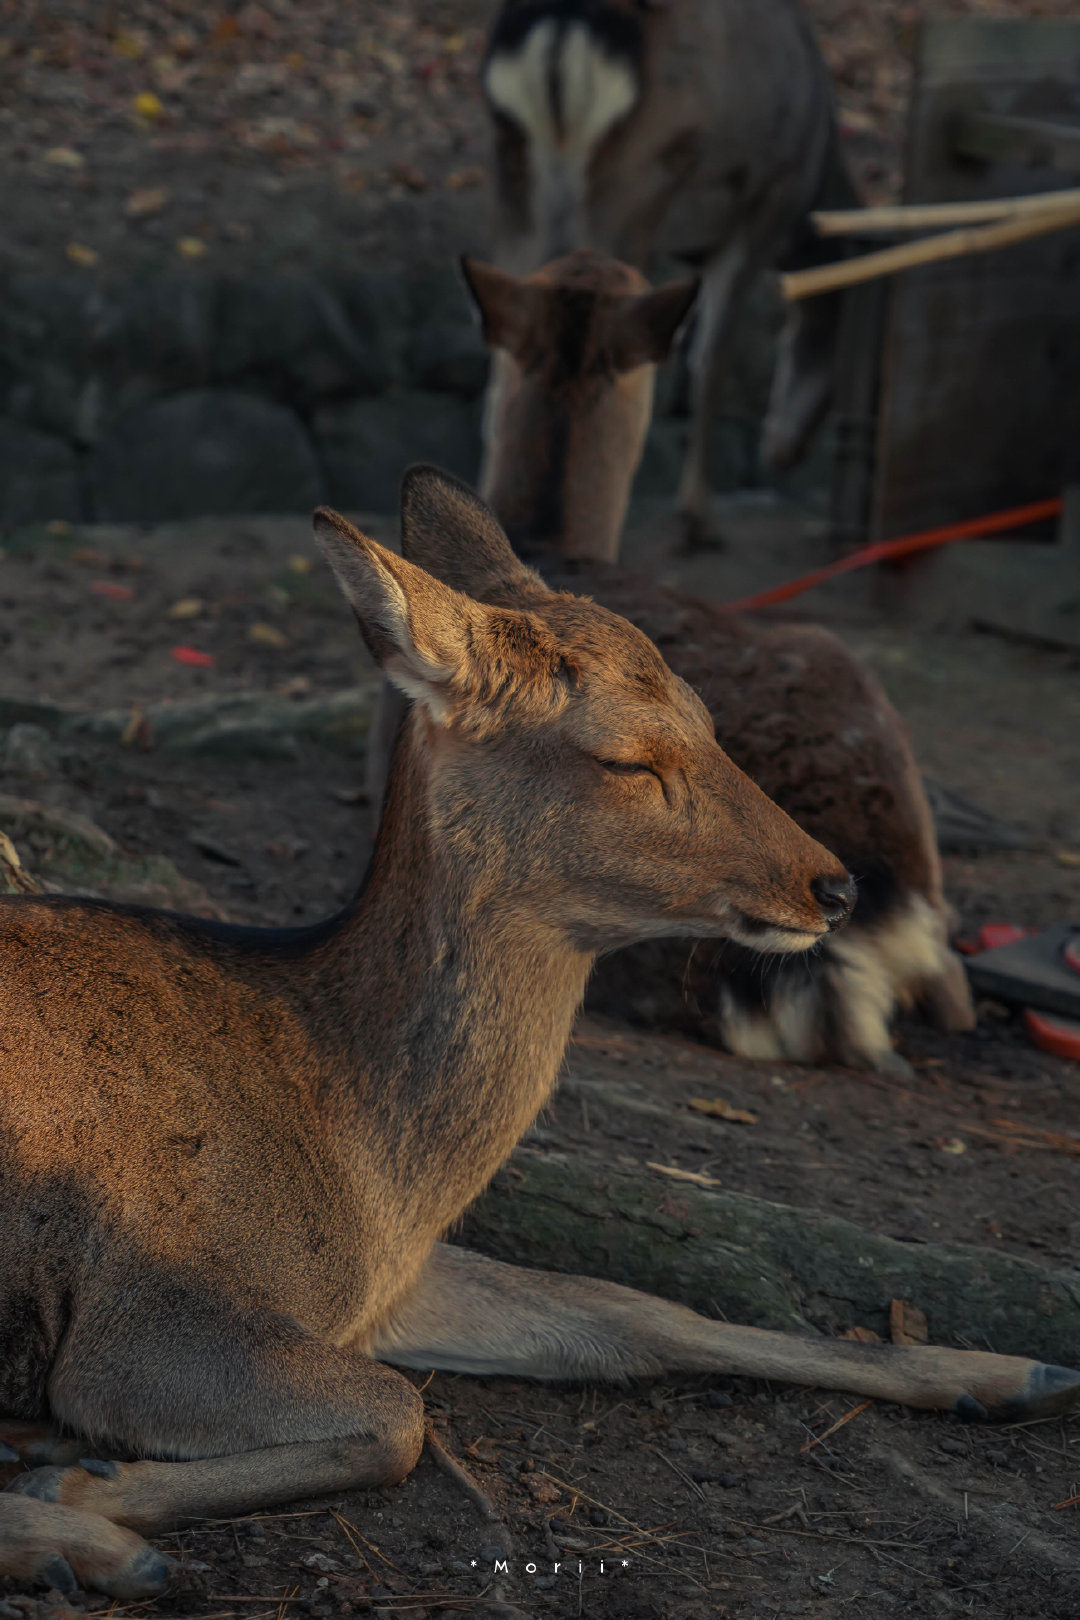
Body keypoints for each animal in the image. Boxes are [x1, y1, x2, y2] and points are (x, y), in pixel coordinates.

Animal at [2, 466, 1075, 1594]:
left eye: (709, 715)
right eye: (628, 758)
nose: (833, 885)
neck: (367, 1166)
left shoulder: (397, 1280)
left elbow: (633, 1311)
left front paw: (1014, 1370)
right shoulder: (145, 1308)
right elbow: (401, 1415)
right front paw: (79, 1484)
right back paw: (86, 1540)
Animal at [482, 0, 861, 537]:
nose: (785, 454)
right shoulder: (763, 208)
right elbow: (711, 356)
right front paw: (698, 517)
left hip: (510, 168)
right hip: (634, 179)